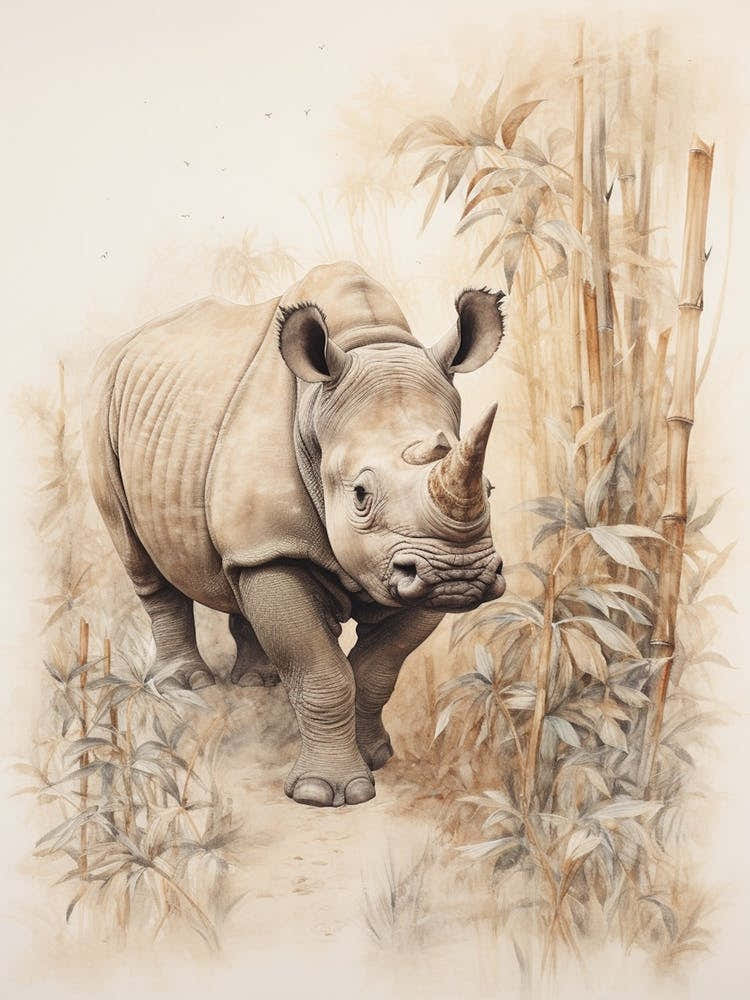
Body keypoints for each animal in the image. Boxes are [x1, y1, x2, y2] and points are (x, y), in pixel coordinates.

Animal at [84, 261, 506, 808]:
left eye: (490, 488)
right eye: (360, 495)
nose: (461, 576)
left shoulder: (412, 566)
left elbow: (376, 669)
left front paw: (375, 757)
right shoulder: (280, 548)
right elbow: (322, 671)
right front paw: (322, 794)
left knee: (236, 575)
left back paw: (256, 683)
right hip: (101, 409)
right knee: (139, 555)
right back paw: (185, 686)